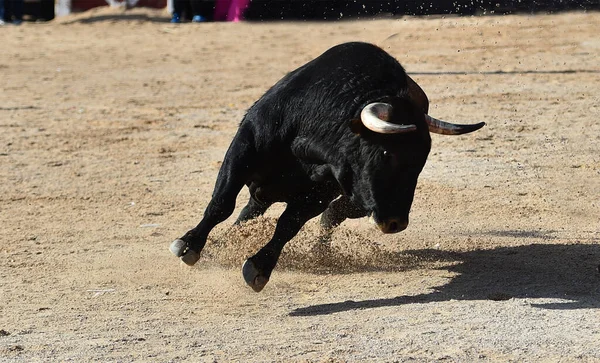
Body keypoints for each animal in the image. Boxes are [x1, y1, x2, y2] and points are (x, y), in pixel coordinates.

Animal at [168, 42, 482, 292]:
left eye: (420, 163)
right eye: (385, 153)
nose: (395, 222)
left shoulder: (323, 190)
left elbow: (289, 224)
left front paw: (259, 267)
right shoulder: (244, 146)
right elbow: (221, 204)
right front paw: (189, 245)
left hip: (356, 201)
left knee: (326, 216)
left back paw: (317, 252)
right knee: (249, 210)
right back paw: (221, 245)